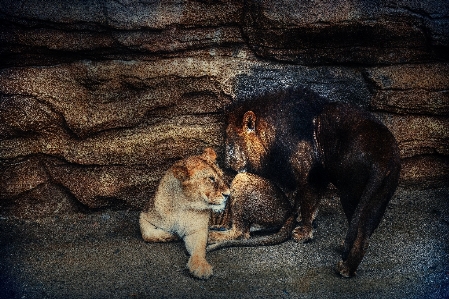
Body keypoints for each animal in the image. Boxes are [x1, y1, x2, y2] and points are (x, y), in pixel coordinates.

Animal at [139, 149, 231, 280]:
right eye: (211, 178)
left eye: (221, 175)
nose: (228, 194)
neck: (182, 205)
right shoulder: (145, 215)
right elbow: (146, 233)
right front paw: (172, 236)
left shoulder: (197, 230)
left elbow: (198, 249)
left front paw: (200, 266)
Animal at [226, 87, 400, 278]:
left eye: (229, 142)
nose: (225, 164)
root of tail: (382, 160)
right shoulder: (320, 177)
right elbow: (310, 202)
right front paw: (302, 219)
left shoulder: (308, 174)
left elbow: (307, 203)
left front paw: (304, 233)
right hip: (380, 196)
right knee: (365, 234)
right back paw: (346, 258)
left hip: (351, 192)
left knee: (360, 233)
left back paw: (345, 268)